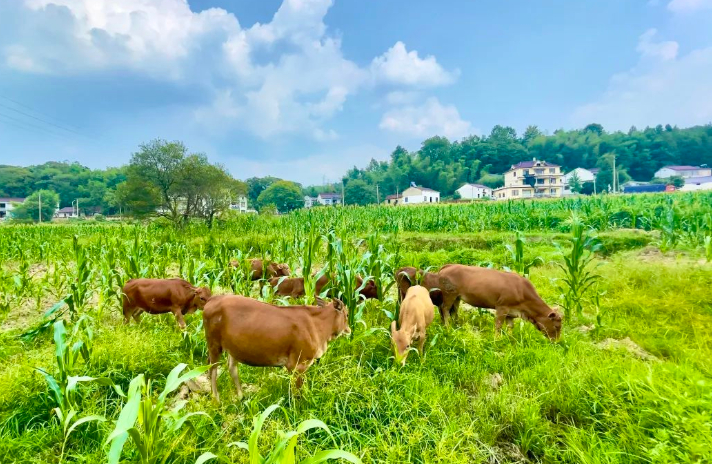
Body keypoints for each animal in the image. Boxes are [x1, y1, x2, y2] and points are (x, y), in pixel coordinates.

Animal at [203, 296, 350, 400]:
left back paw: (241, 396)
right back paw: (216, 400)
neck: (318, 325)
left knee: (232, 368)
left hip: (232, 348)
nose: (349, 330)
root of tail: (212, 299)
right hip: (213, 344)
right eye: (347, 314)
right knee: (212, 370)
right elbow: (297, 391)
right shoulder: (297, 365)